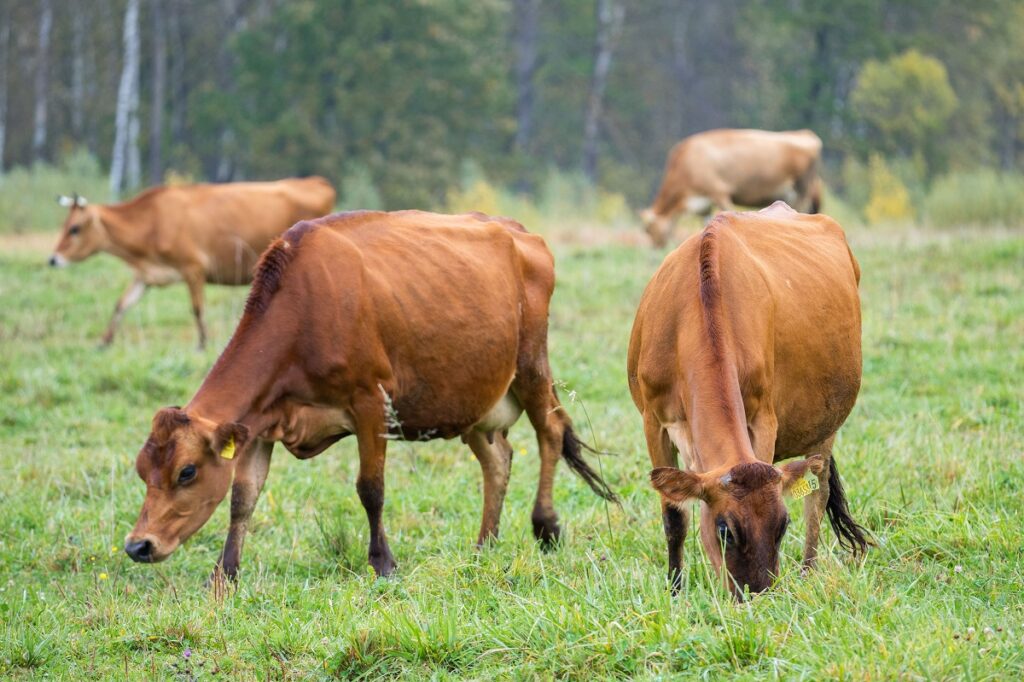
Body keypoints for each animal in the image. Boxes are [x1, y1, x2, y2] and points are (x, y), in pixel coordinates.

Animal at [48, 175, 335, 346]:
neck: (152, 222)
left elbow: (197, 309)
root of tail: (316, 182)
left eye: (74, 228)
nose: (53, 259)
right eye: (64, 225)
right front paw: (104, 342)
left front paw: (202, 344)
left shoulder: (193, 268)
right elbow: (122, 304)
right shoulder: (145, 276)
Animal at [119, 209, 614, 577]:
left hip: (531, 366)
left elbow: (370, 488)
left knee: (550, 431)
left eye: (186, 472)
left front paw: (383, 562)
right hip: (473, 396)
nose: (138, 546)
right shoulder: (259, 421)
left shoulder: (371, 402)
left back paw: (545, 525)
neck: (303, 310)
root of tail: (520, 232)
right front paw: (225, 574)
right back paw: (484, 545)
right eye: (142, 470)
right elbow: (243, 498)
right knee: (498, 460)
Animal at [626, 200, 868, 593]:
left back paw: (808, 571)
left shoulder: (763, 417)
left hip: (827, 423)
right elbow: (674, 517)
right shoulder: (653, 421)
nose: (758, 593)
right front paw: (675, 589)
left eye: (782, 526)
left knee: (817, 496)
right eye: (726, 529)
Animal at [638, 127, 823, 246]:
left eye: (648, 230)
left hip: (802, 190)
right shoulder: (704, 205)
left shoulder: (719, 193)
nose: (655, 248)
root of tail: (805, 133)